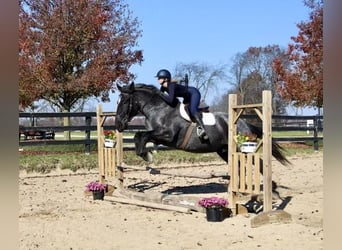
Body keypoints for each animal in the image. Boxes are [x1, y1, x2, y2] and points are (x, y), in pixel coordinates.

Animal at [115, 82, 288, 166]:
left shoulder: (168, 136)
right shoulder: (157, 136)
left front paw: (147, 156)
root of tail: (245, 124)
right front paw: (146, 154)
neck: (159, 108)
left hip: (242, 148)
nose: (118, 125)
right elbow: (140, 136)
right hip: (224, 151)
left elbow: (141, 135)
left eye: (123, 101)